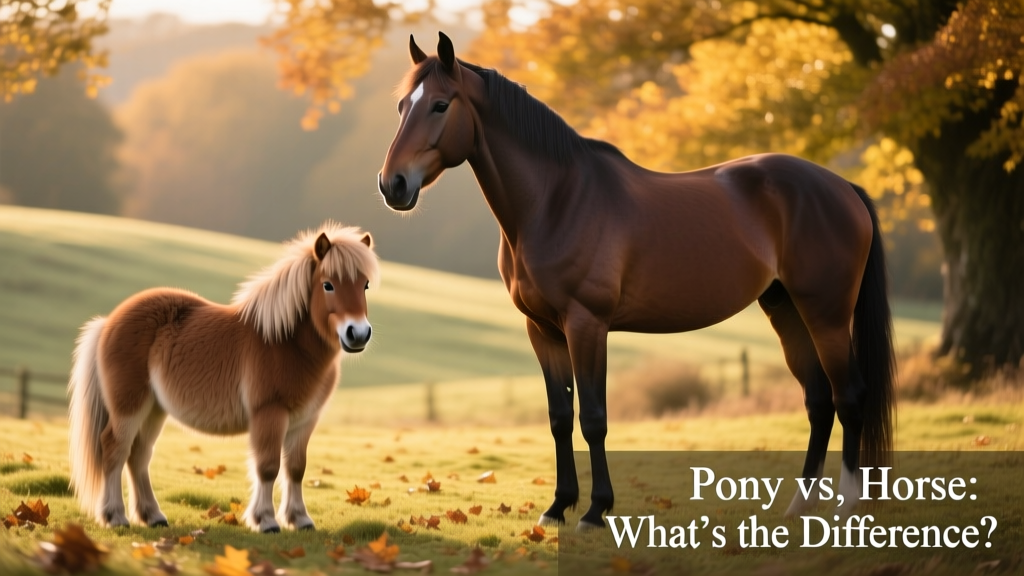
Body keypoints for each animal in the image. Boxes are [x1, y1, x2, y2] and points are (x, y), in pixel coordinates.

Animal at [67, 223, 379, 533]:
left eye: (365, 284)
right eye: (328, 284)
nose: (358, 334)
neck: (286, 343)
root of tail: (109, 321)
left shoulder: (305, 420)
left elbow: (296, 468)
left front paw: (300, 519)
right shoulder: (270, 414)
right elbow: (268, 467)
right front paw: (266, 521)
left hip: (154, 409)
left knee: (139, 455)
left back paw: (153, 516)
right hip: (129, 407)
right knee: (114, 449)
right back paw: (115, 517)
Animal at [378, 33, 895, 530]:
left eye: (440, 105)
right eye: (402, 106)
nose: (392, 185)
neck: (556, 201)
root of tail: (844, 187)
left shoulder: (587, 325)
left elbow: (594, 418)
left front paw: (594, 510)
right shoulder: (543, 330)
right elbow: (560, 418)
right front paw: (557, 506)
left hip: (826, 315)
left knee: (850, 397)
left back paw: (847, 506)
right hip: (786, 309)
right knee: (819, 401)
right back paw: (798, 507)